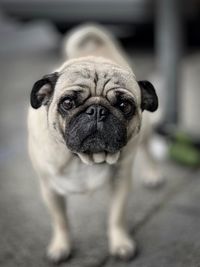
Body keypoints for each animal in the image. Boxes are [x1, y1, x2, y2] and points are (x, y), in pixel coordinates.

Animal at [27, 24, 159, 264]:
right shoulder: (49, 189)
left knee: (147, 147)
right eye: (67, 103)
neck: (85, 158)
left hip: (145, 132)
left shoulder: (120, 182)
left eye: (125, 105)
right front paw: (61, 246)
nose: (97, 111)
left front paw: (120, 244)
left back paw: (153, 173)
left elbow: (116, 216)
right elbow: (60, 221)